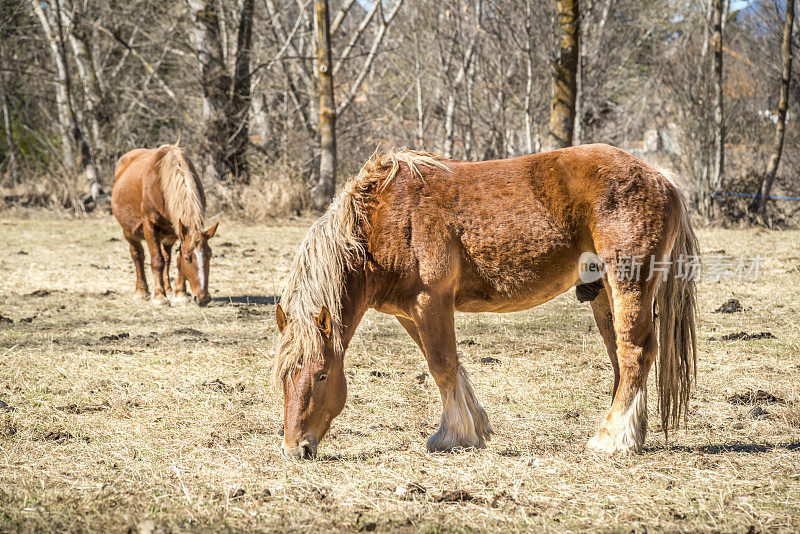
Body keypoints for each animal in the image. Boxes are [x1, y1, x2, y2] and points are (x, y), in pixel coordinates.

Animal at [111, 144, 219, 308]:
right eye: (188, 258)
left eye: (210, 255)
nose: (203, 298)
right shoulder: (149, 226)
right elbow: (157, 261)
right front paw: (159, 296)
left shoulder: (179, 230)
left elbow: (175, 260)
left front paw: (179, 294)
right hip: (129, 232)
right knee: (138, 256)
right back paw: (142, 291)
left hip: (167, 236)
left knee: (167, 257)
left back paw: (168, 289)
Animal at [272, 144, 696, 462]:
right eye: (283, 378)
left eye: (322, 374)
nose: (296, 449)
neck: (385, 220)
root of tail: (661, 177)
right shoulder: (411, 313)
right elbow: (451, 366)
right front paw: (474, 428)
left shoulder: (430, 302)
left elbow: (442, 365)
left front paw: (452, 436)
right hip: (604, 295)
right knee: (622, 359)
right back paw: (630, 434)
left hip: (628, 285)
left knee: (635, 353)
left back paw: (610, 439)